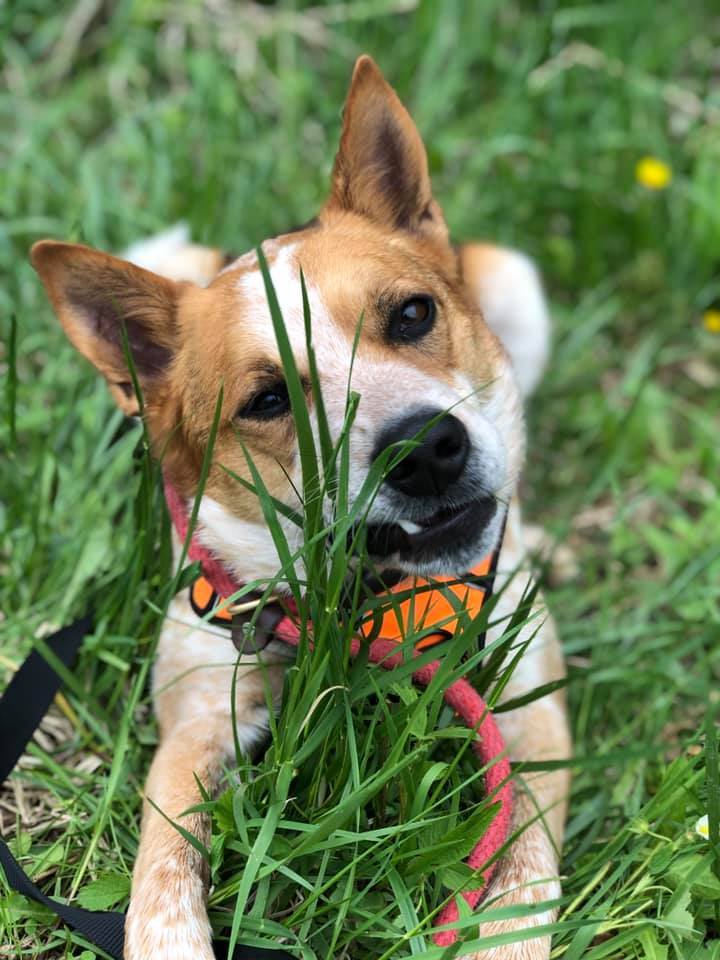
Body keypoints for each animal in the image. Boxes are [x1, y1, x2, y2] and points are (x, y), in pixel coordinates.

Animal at [31, 58, 572, 960]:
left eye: (413, 314)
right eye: (268, 399)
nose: (425, 448)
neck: (373, 609)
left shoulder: (533, 719)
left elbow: (520, 884)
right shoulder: (199, 718)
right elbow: (162, 878)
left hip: (515, 284)